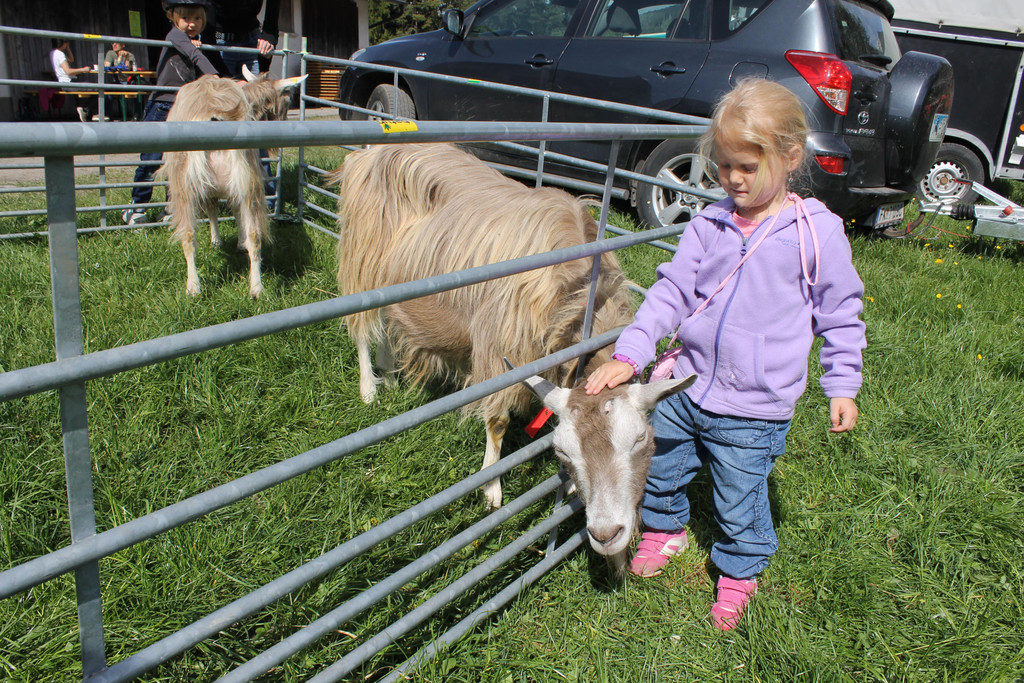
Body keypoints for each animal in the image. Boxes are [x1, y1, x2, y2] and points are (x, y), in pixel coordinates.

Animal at [161, 67, 305, 299]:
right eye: (289, 98)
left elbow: (220, 210)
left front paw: (220, 242)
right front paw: (231, 243)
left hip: (189, 185)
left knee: (188, 234)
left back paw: (193, 287)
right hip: (246, 181)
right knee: (254, 234)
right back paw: (256, 288)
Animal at [327, 143, 634, 507]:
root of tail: (369, 152)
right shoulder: (497, 346)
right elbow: (498, 422)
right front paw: (491, 488)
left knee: (388, 324)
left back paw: (387, 375)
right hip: (361, 260)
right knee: (361, 331)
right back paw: (369, 390)